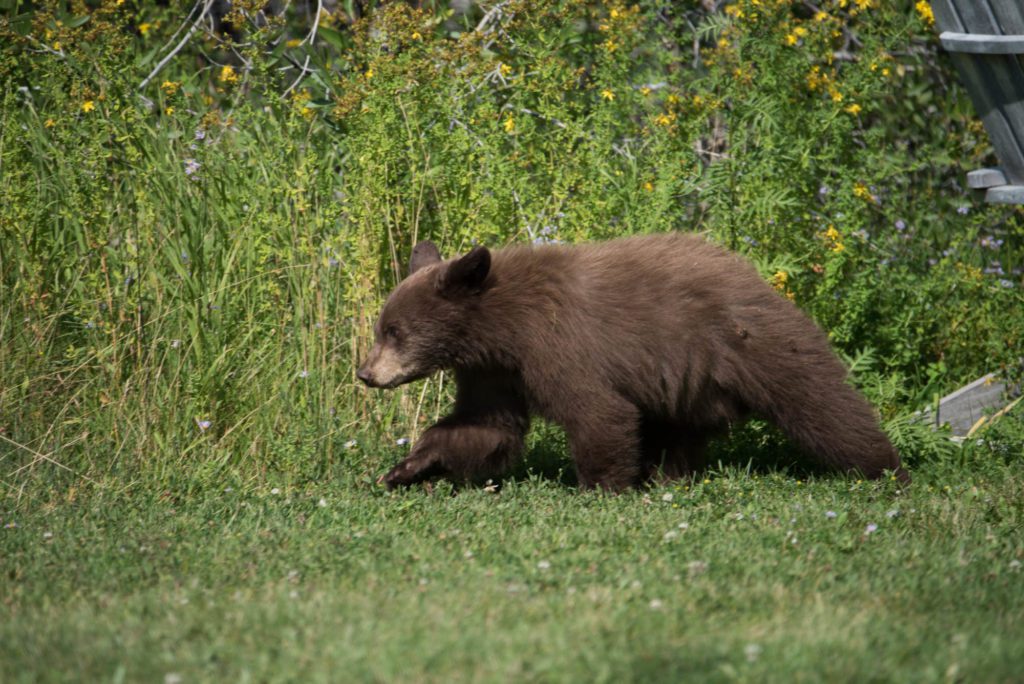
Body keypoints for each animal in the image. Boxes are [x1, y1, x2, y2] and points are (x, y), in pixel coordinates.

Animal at [357, 233, 908, 491]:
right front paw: (409, 467)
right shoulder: (492, 372)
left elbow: (598, 410)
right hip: (688, 379)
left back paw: (885, 468)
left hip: (751, 346)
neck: (501, 329)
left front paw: (600, 488)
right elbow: (487, 426)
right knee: (680, 431)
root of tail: (756, 277)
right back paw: (669, 476)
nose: (366, 373)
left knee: (820, 402)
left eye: (394, 331)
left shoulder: (558, 348)